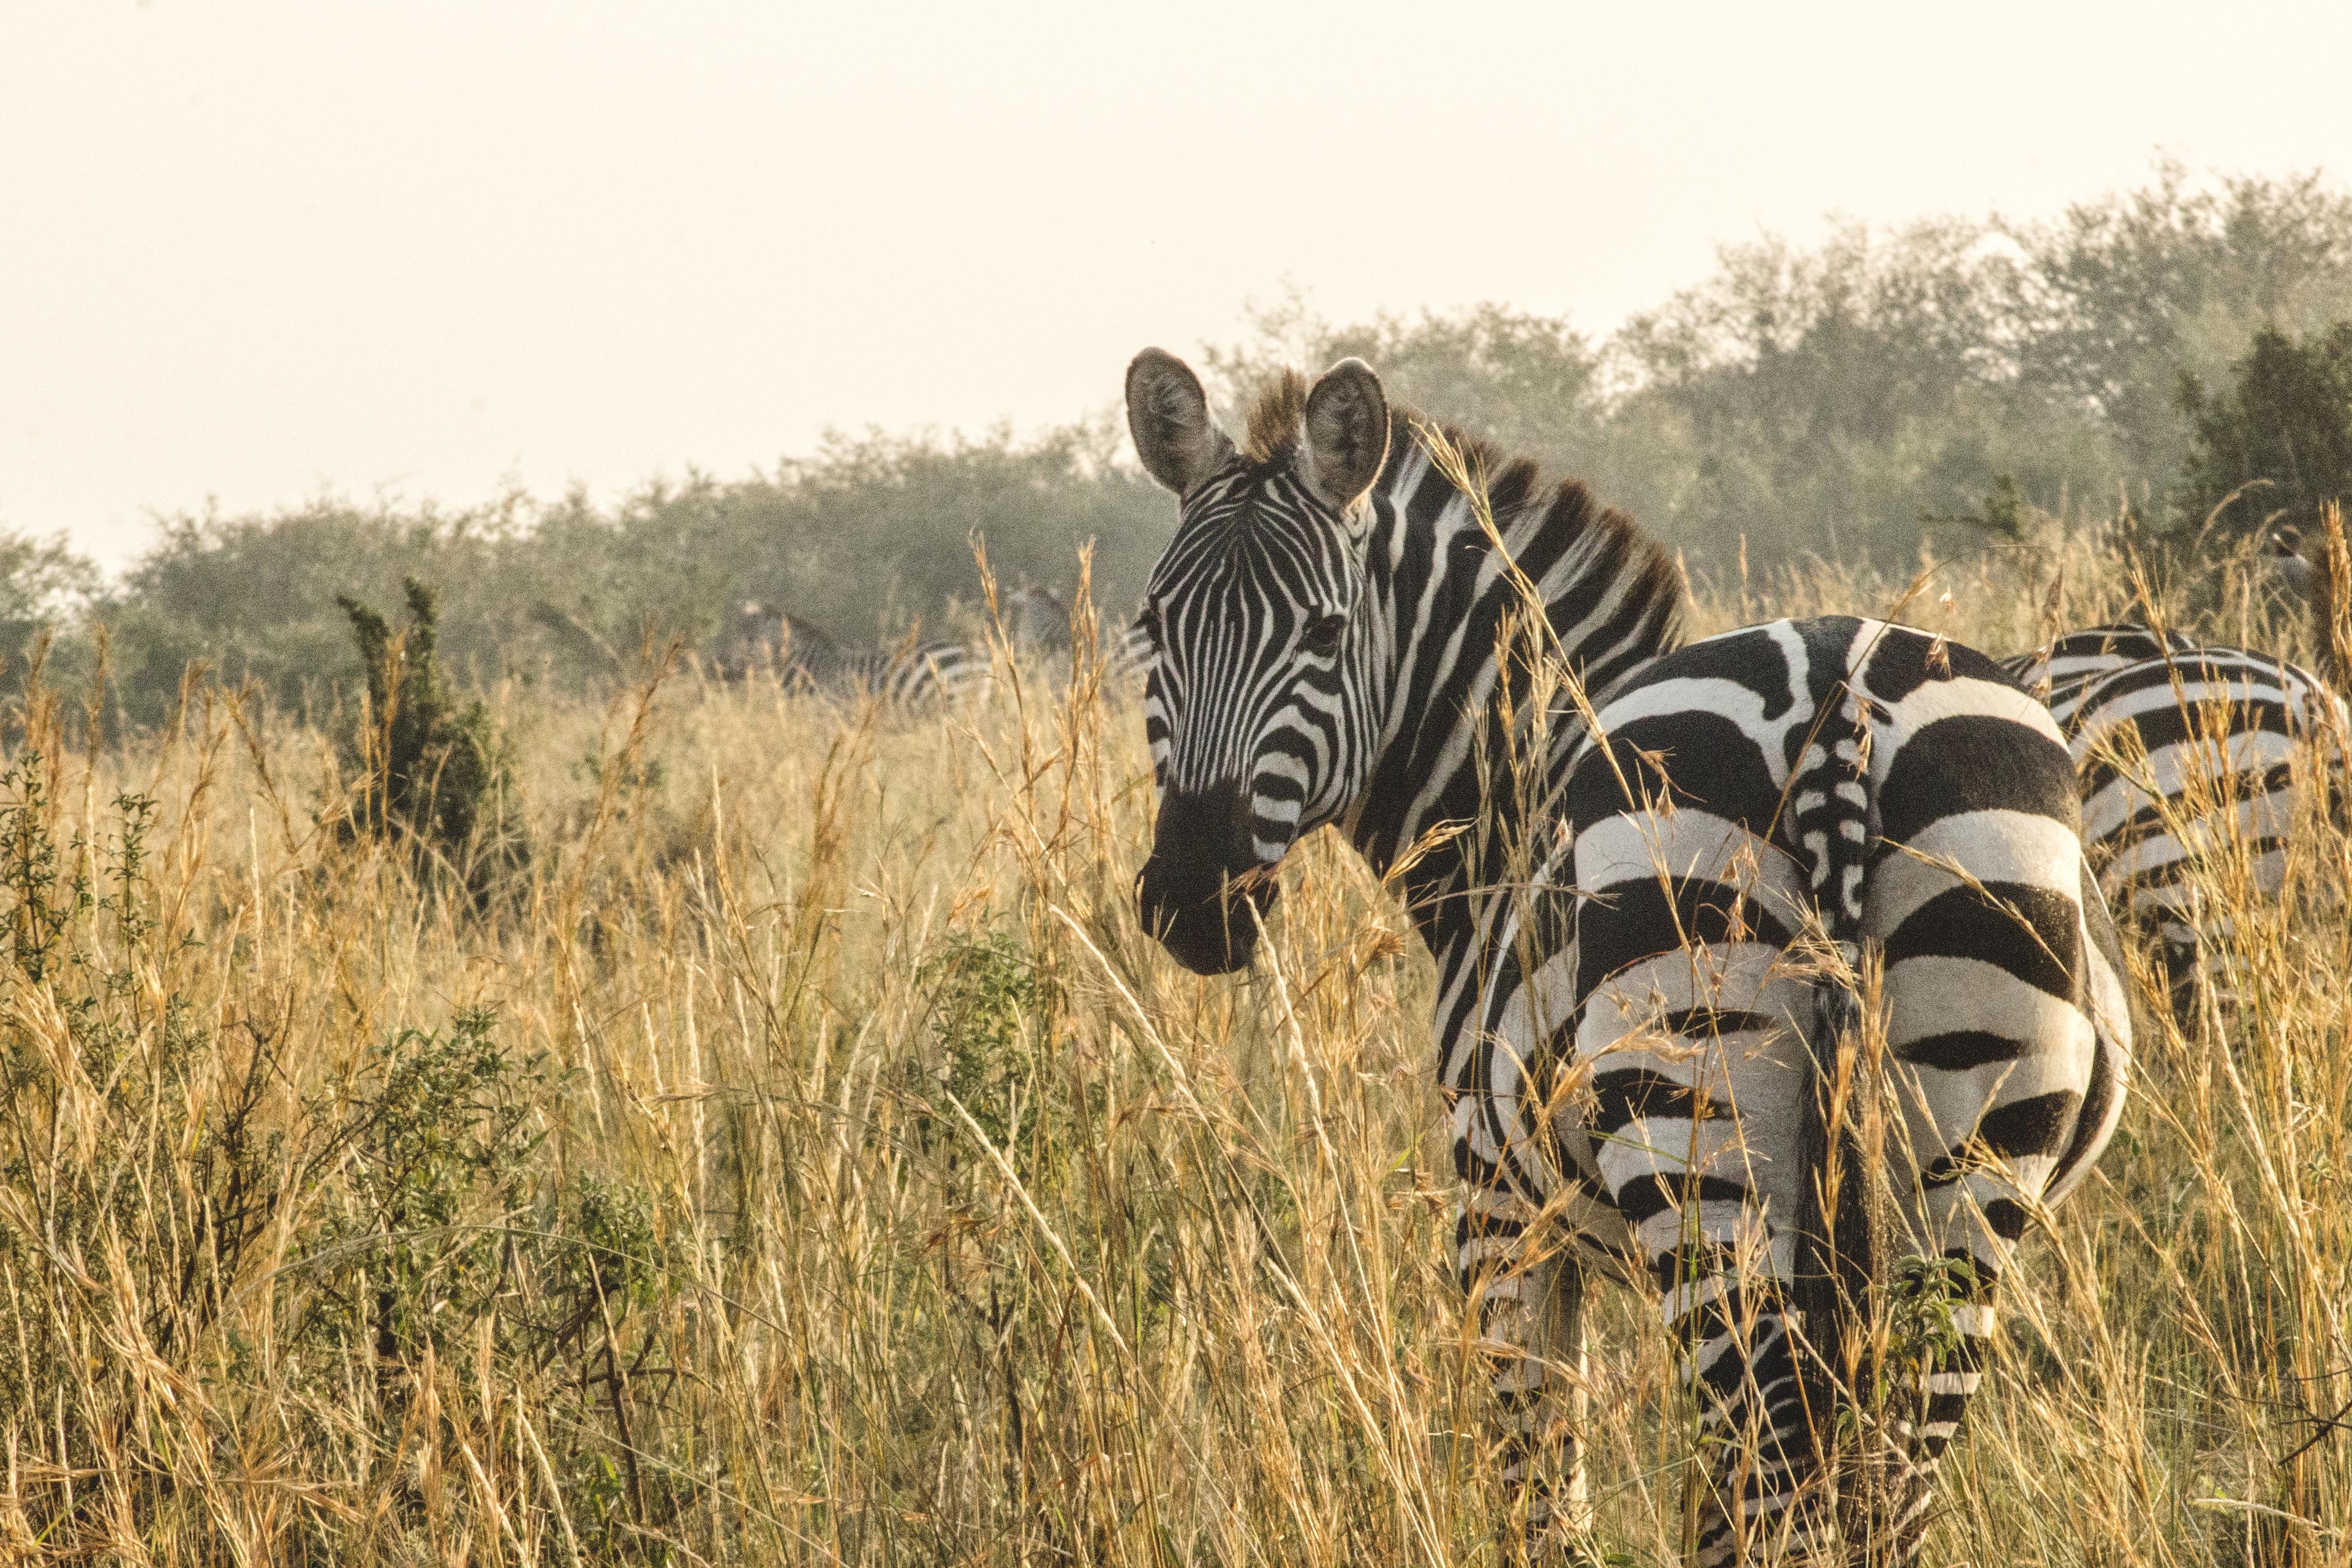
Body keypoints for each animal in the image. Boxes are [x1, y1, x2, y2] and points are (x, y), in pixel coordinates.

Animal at [1124, 347, 2132, 1564]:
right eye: (1154, 625)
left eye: (1324, 634)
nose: (1193, 899)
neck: (1512, 796)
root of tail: (1837, 701)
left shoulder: (1502, 1223)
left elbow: (1543, 1505)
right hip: (1964, 1169)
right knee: (1882, 1490)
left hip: (1698, 1134)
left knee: (1776, 1475)